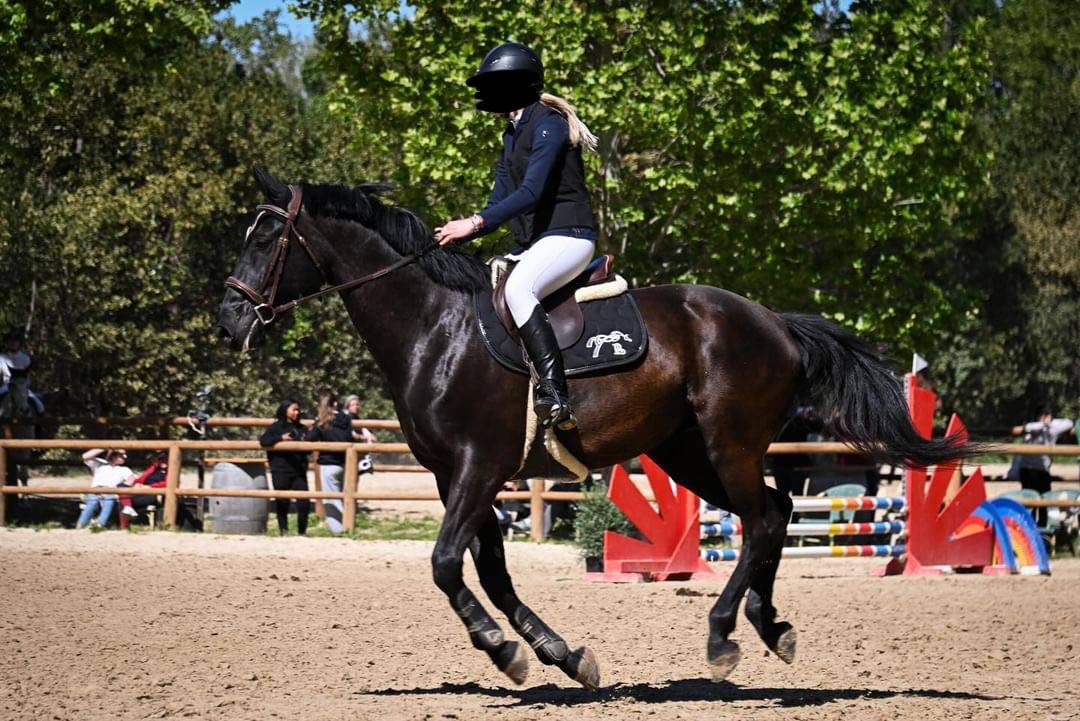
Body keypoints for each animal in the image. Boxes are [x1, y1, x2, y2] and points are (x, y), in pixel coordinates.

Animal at [216, 166, 970, 689]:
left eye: (268, 237)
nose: (228, 323)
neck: (435, 327)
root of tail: (775, 323)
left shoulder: (477, 467)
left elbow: (446, 564)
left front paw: (506, 651)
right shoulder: (460, 476)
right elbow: (491, 571)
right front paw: (561, 655)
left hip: (727, 444)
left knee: (761, 519)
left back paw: (723, 634)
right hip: (688, 452)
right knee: (777, 512)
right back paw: (769, 625)